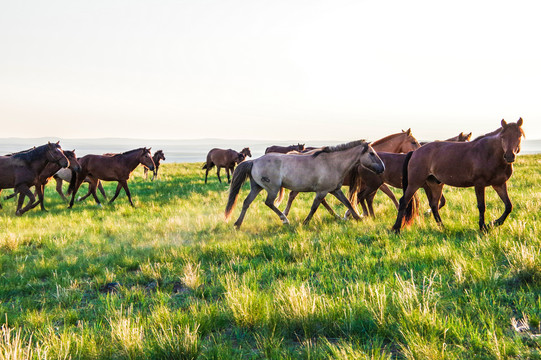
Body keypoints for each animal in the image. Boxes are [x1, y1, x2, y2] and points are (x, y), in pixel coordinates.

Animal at [224, 141, 384, 228]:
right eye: (371, 153)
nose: (382, 168)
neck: (332, 163)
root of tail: (254, 161)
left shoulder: (335, 190)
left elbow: (348, 203)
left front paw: (358, 218)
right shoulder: (322, 192)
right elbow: (314, 207)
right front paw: (305, 222)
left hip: (256, 187)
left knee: (246, 202)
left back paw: (238, 224)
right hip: (272, 188)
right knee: (269, 202)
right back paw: (285, 219)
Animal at [392, 119, 524, 233]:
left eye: (519, 136)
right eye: (503, 137)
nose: (509, 156)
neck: (490, 154)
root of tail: (415, 152)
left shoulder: (499, 184)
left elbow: (508, 206)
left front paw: (493, 223)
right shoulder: (479, 184)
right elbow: (482, 206)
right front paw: (483, 227)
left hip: (435, 184)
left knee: (434, 205)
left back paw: (443, 228)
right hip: (415, 183)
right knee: (404, 201)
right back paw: (396, 229)